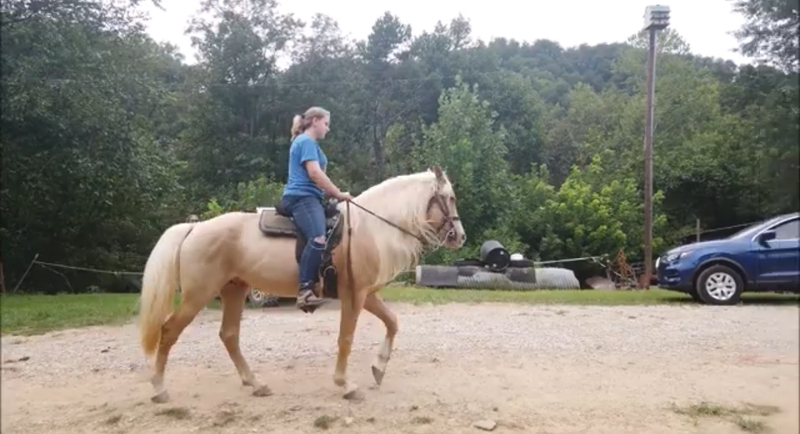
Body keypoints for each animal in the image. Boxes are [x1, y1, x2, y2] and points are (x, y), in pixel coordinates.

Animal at [137, 166, 466, 403]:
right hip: (198, 295)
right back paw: (159, 389)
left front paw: (379, 368)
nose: (460, 236)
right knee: (168, 332)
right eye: (449, 197)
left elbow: (393, 322)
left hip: (234, 289)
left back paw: (256, 383)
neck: (368, 229)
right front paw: (345, 385)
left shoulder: (367, 294)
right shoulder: (354, 295)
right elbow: (346, 338)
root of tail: (195, 227)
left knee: (229, 335)